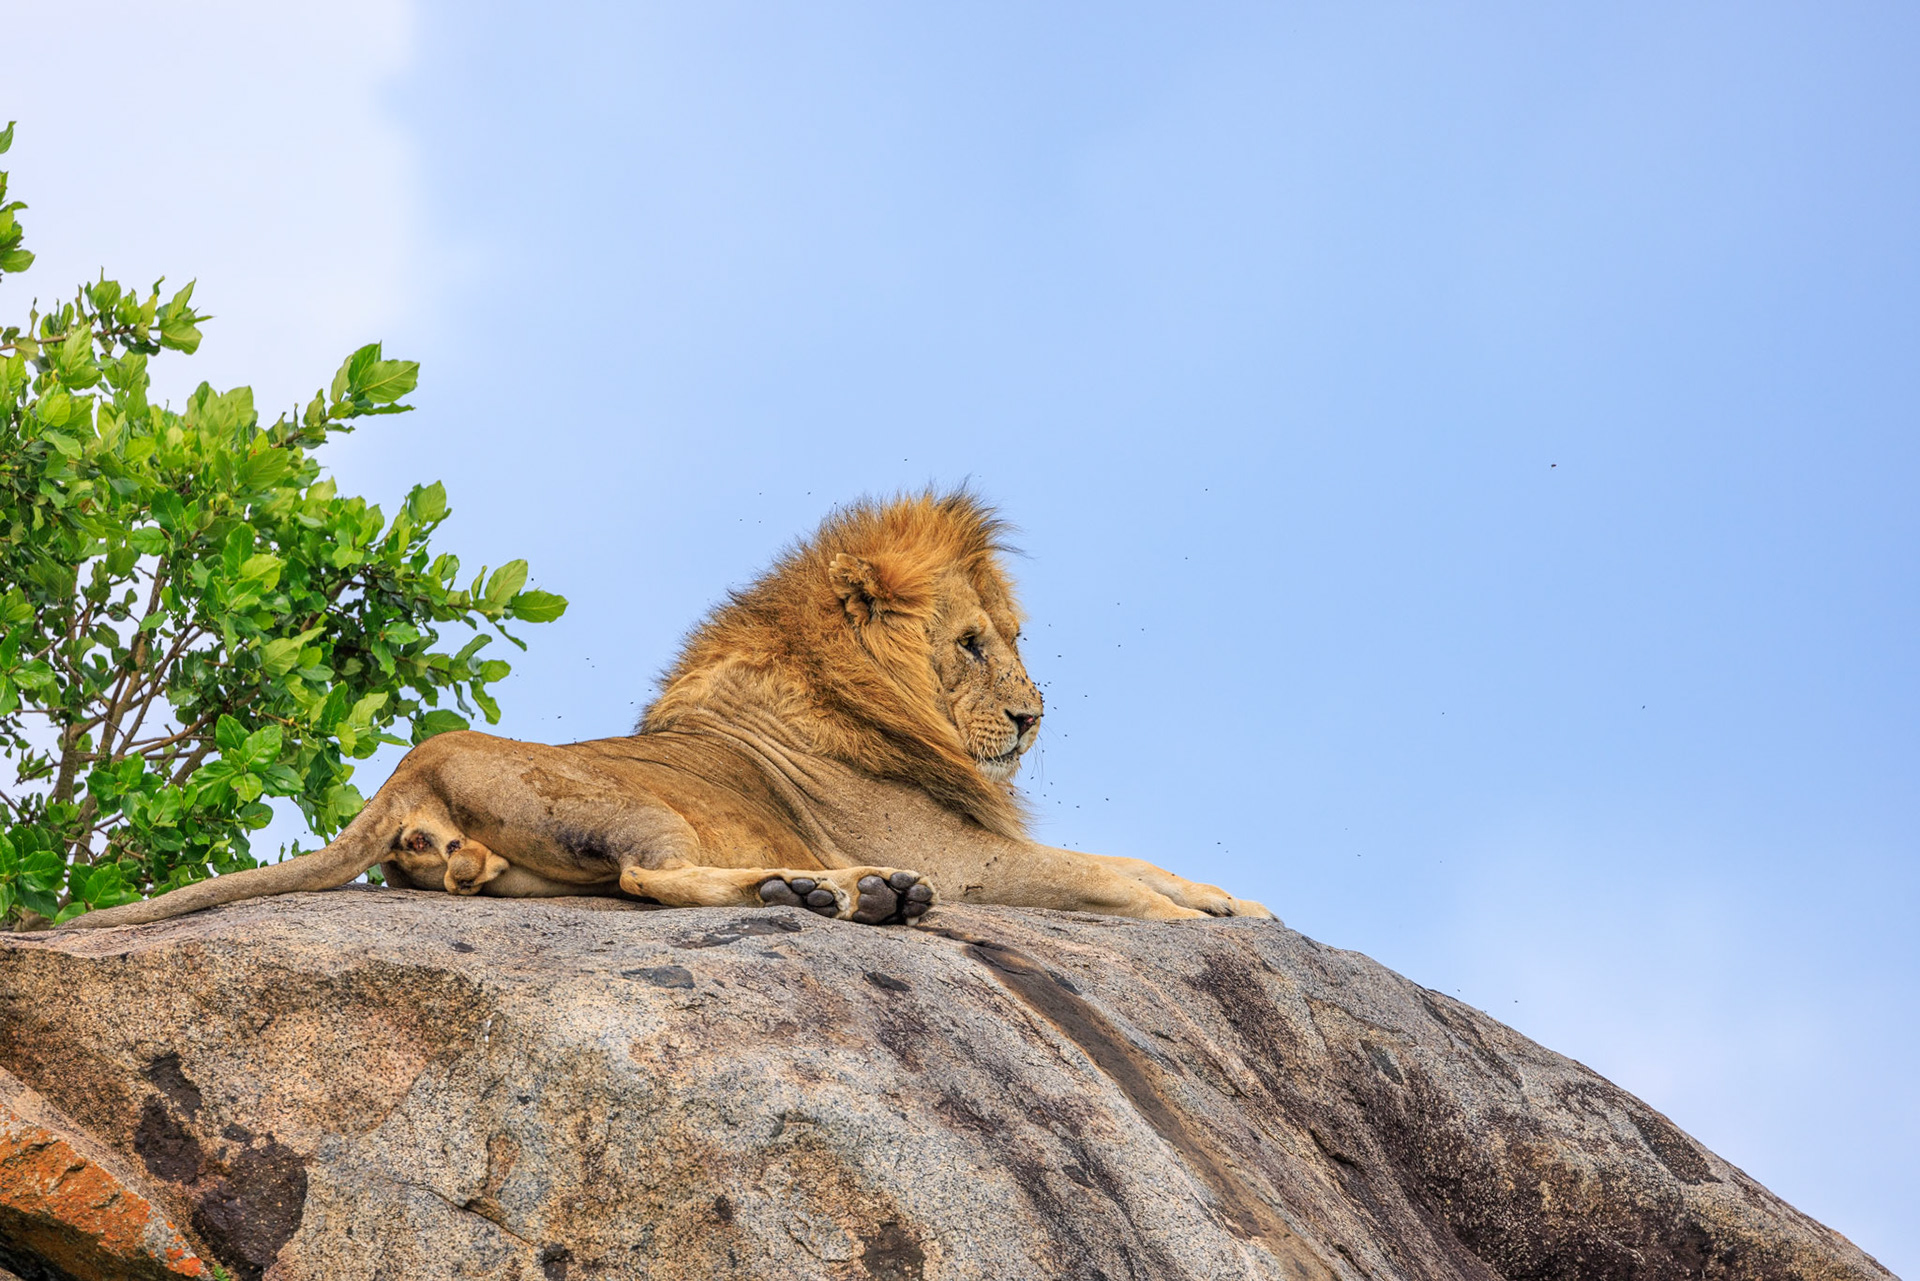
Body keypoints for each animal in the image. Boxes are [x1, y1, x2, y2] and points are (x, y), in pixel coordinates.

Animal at [68, 492, 1272, 930]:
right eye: (972, 644)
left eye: (1016, 638)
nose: (1031, 720)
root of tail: (411, 766)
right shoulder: (971, 859)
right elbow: (1103, 878)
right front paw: (1183, 919)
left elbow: (1135, 858)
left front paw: (1234, 902)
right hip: (633, 810)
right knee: (653, 879)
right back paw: (847, 892)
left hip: (525, 864)